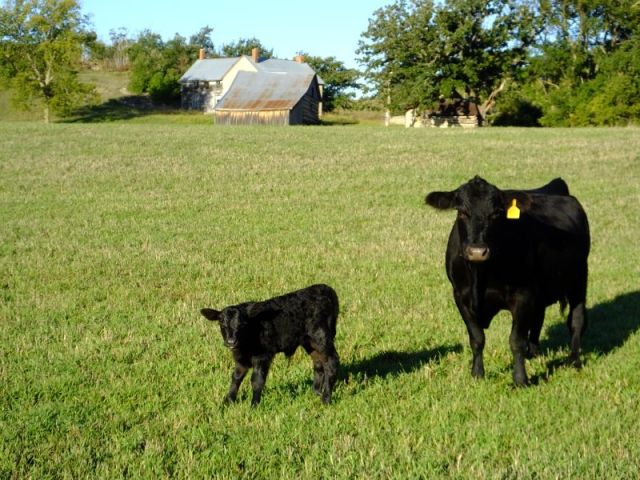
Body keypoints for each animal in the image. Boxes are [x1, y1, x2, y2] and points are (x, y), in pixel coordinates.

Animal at [200, 284, 340, 406]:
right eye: (221, 323)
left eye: (242, 324)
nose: (231, 341)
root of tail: (327, 289)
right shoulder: (241, 360)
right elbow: (236, 377)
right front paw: (228, 402)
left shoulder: (263, 356)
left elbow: (257, 380)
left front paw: (254, 405)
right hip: (310, 342)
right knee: (318, 363)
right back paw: (315, 392)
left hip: (322, 337)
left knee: (332, 363)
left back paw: (326, 399)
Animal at [425, 176, 590, 386]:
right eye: (461, 211)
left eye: (496, 213)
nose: (477, 251)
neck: (480, 276)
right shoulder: (460, 296)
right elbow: (477, 338)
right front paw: (477, 374)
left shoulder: (522, 296)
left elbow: (516, 340)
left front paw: (520, 380)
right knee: (539, 317)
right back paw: (533, 354)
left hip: (579, 278)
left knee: (576, 320)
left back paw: (574, 360)